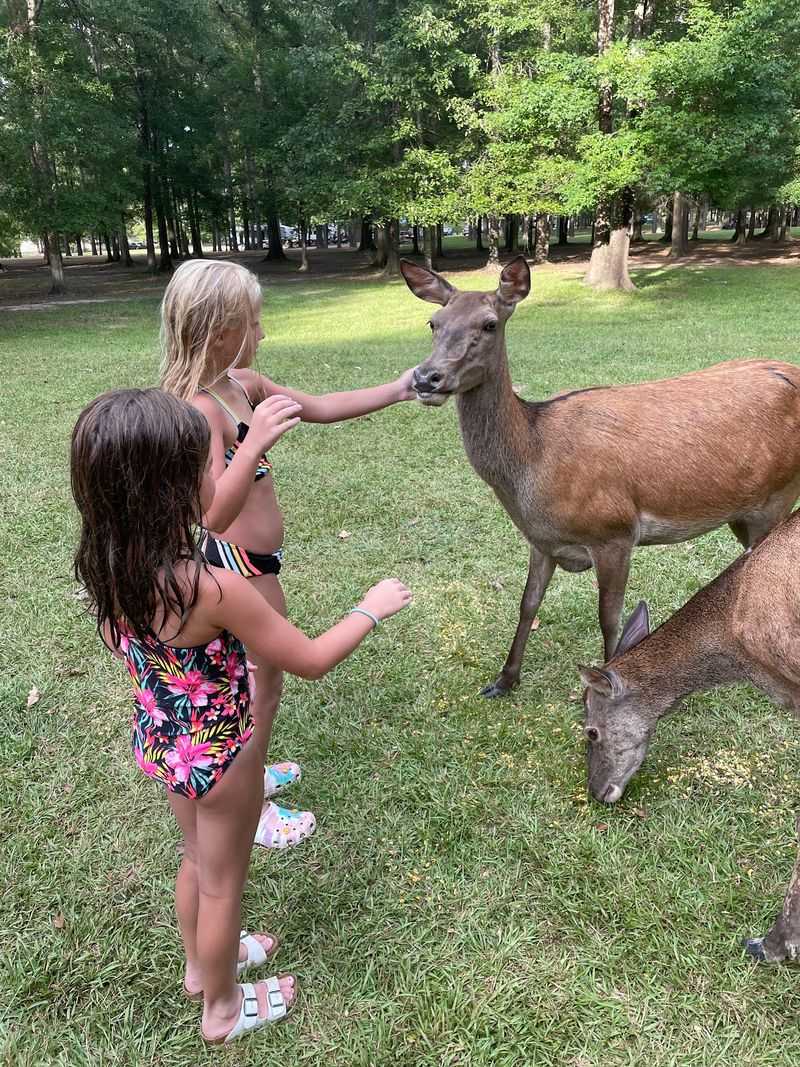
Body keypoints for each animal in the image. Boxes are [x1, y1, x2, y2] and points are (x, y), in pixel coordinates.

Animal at [400, 255, 800, 697]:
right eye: (433, 322)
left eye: (489, 324)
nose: (426, 378)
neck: (533, 467)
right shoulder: (542, 541)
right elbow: (527, 603)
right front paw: (503, 681)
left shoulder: (614, 532)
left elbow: (609, 617)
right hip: (743, 512)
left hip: (779, 494)